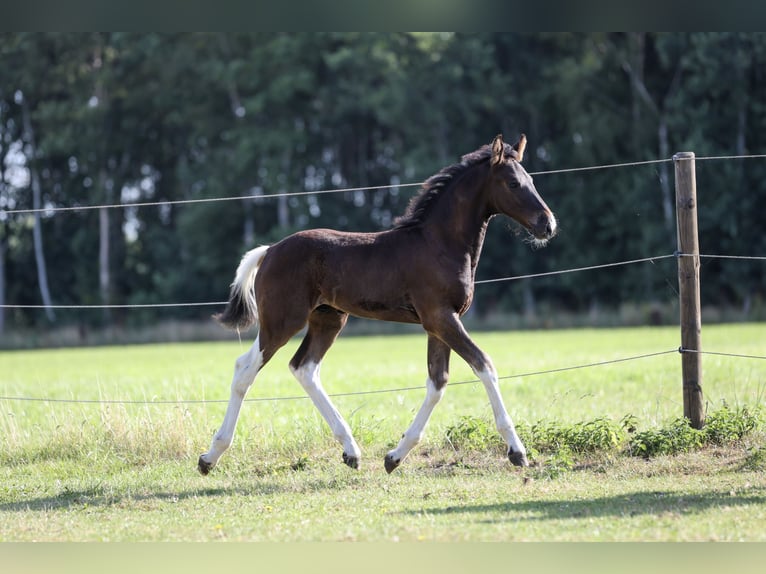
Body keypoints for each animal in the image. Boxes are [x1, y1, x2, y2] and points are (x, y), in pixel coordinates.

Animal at [198, 134, 557, 476]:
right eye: (513, 183)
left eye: (531, 180)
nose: (548, 225)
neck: (439, 244)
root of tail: (270, 250)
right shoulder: (441, 318)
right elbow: (484, 365)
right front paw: (517, 452)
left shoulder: (438, 324)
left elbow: (437, 382)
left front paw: (394, 457)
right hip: (282, 320)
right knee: (245, 368)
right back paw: (210, 457)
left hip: (328, 319)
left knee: (304, 367)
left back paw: (351, 452)